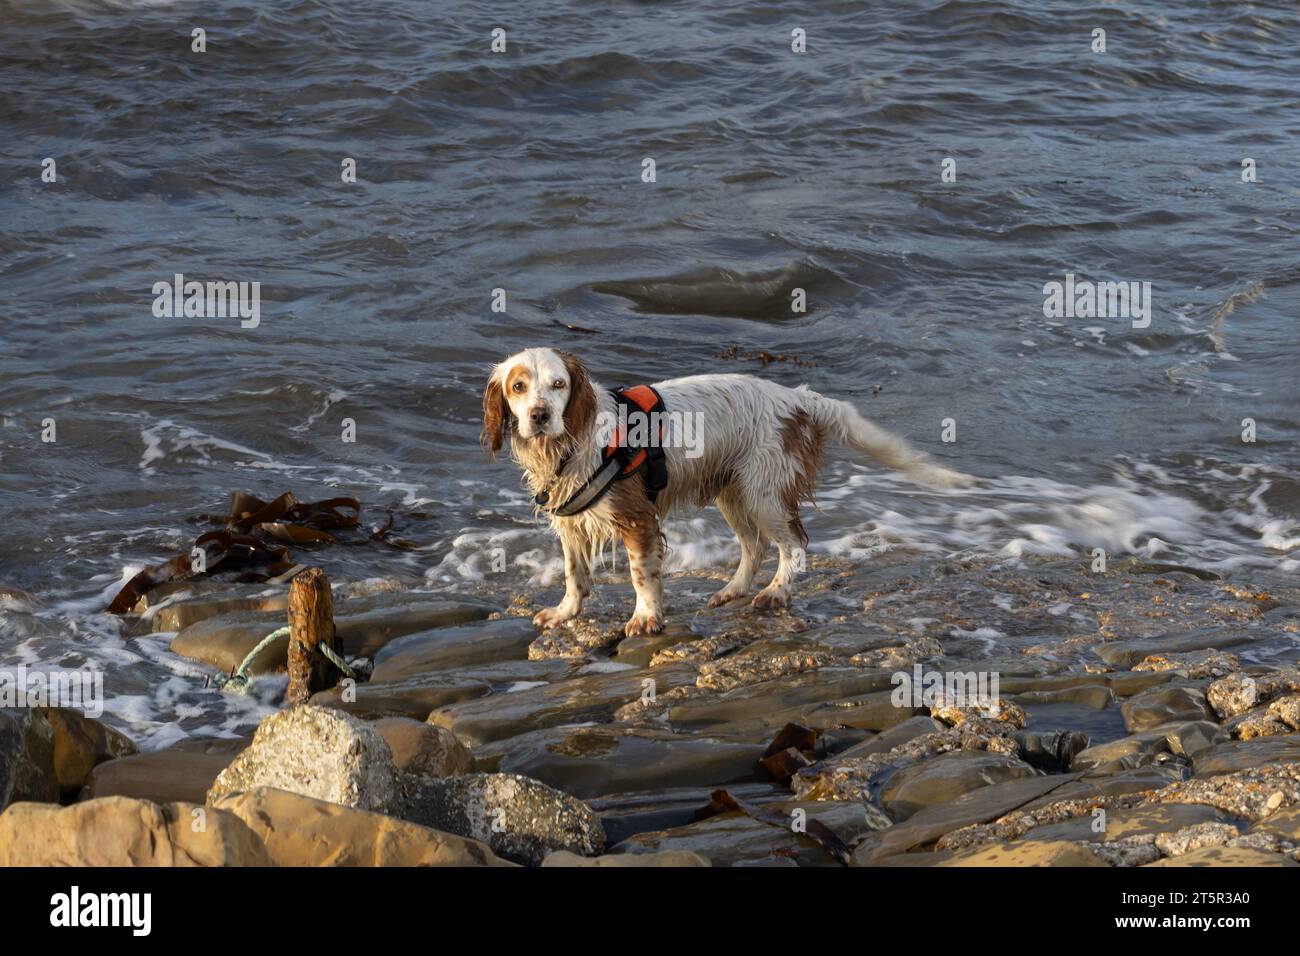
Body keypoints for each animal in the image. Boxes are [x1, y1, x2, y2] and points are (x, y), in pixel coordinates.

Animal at [483, 348, 972, 639]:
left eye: (559, 385)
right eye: (518, 387)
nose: (540, 415)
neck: (570, 445)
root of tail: (799, 399)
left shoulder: (636, 518)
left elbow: (642, 575)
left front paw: (645, 617)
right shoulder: (570, 524)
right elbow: (574, 575)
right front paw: (564, 613)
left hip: (763, 493)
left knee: (793, 545)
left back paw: (775, 592)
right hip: (732, 492)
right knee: (755, 546)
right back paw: (733, 590)